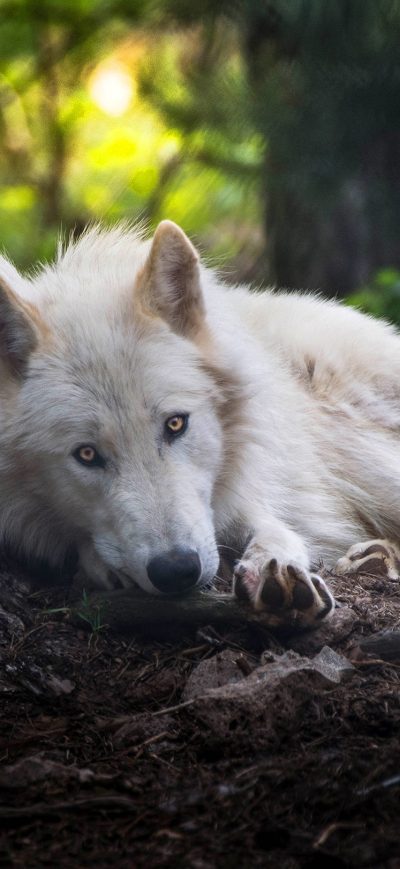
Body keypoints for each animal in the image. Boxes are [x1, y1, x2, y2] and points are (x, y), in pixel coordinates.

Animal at [0, 220, 399, 627]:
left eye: (176, 424)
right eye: (86, 454)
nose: (176, 570)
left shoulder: (250, 492)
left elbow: (272, 531)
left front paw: (273, 573)